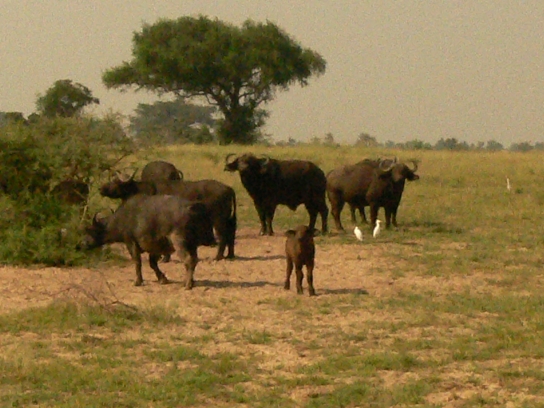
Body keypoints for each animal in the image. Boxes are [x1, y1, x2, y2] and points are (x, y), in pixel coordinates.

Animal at [82, 195, 216, 289]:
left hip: (179, 242)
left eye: (90, 231)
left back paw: (187, 284)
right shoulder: (155, 248)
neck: (123, 218)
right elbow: (152, 264)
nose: (83, 244)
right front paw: (162, 279)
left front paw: (138, 281)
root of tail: (192, 207)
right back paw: (190, 282)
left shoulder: (131, 243)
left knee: (188, 260)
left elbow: (137, 262)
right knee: (194, 259)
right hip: (192, 244)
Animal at [99, 176, 236, 261]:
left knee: (223, 236)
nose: (101, 188)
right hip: (229, 219)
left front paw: (164, 258)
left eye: (116, 182)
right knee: (231, 234)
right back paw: (230, 255)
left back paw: (218, 256)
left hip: (218, 219)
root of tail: (228, 188)